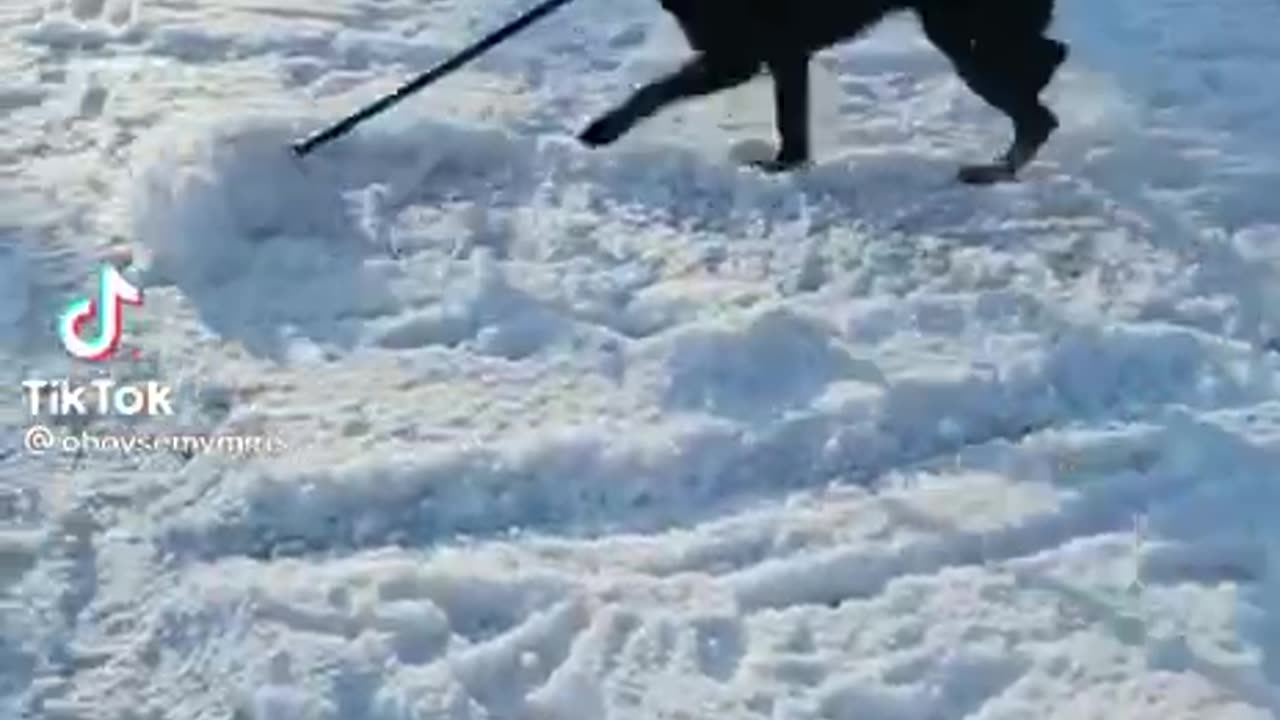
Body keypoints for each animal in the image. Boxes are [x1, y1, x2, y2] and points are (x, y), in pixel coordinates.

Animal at [581, 0, 1070, 183]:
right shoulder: (774, 56)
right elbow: (791, 121)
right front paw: (788, 164)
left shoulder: (741, 58)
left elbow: (652, 91)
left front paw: (603, 128)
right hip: (969, 32)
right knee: (1041, 71)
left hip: (962, 34)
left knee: (1037, 112)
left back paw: (995, 170)